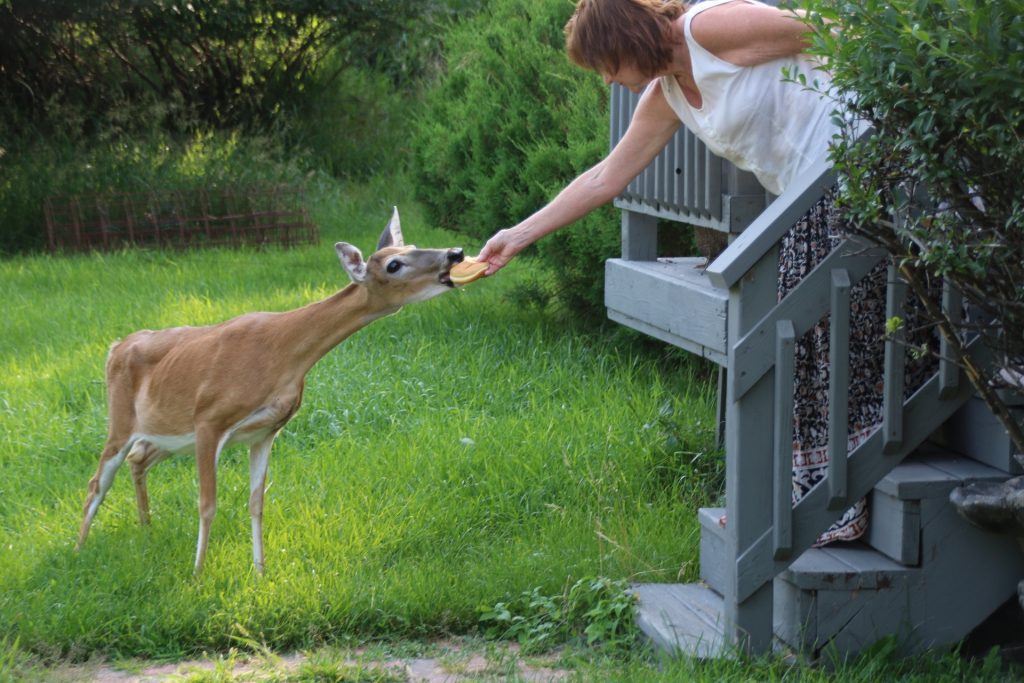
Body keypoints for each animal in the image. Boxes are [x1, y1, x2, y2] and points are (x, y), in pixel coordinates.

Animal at [76, 208, 467, 574]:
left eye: (412, 246)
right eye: (393, 264)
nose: (455, 253)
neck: (283, 357)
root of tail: (115, 346)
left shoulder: (266, 431)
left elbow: (256, 502)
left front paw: (260, 571)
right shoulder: (209, 419)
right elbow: (207, 504)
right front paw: (199, 573)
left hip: (168, 433)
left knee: (138, 458)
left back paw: (146, 527)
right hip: (122, 420)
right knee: (98, 481)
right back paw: (79, 548)